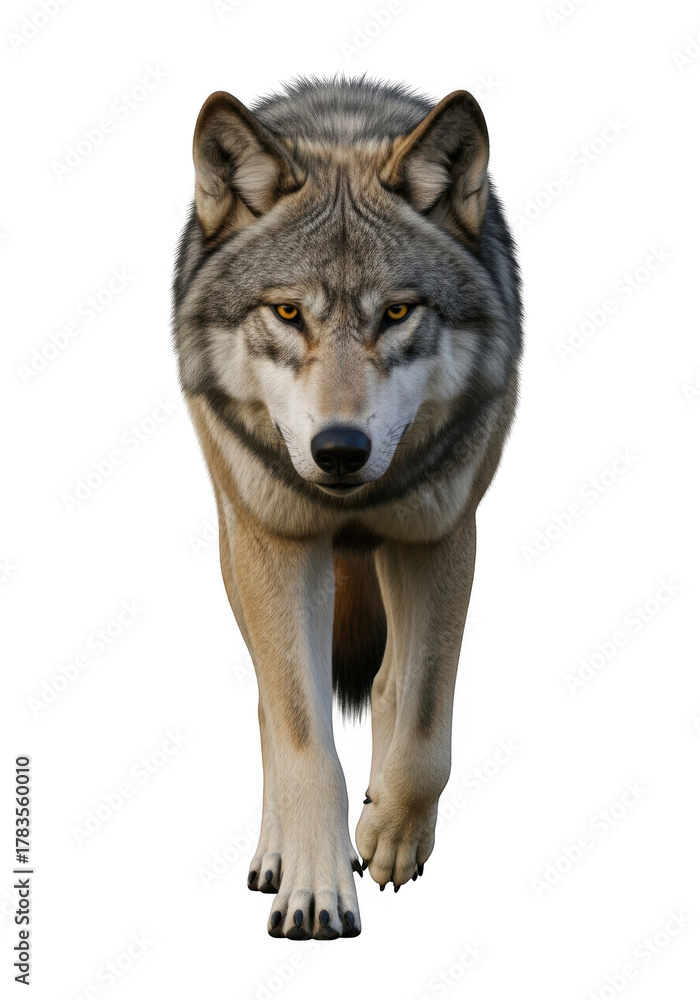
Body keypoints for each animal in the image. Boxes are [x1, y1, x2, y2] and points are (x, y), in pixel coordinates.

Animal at [172, 76, 522, 940]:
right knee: (268, 704)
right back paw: (276, 855)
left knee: (393, 682)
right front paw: (316, 888)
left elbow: (423, 721)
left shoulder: (438, 531)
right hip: (238, 544)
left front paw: (389, 835)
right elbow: (302, 737)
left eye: (396, 312)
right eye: (288, 313)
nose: (338, 450)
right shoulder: (278, 541)